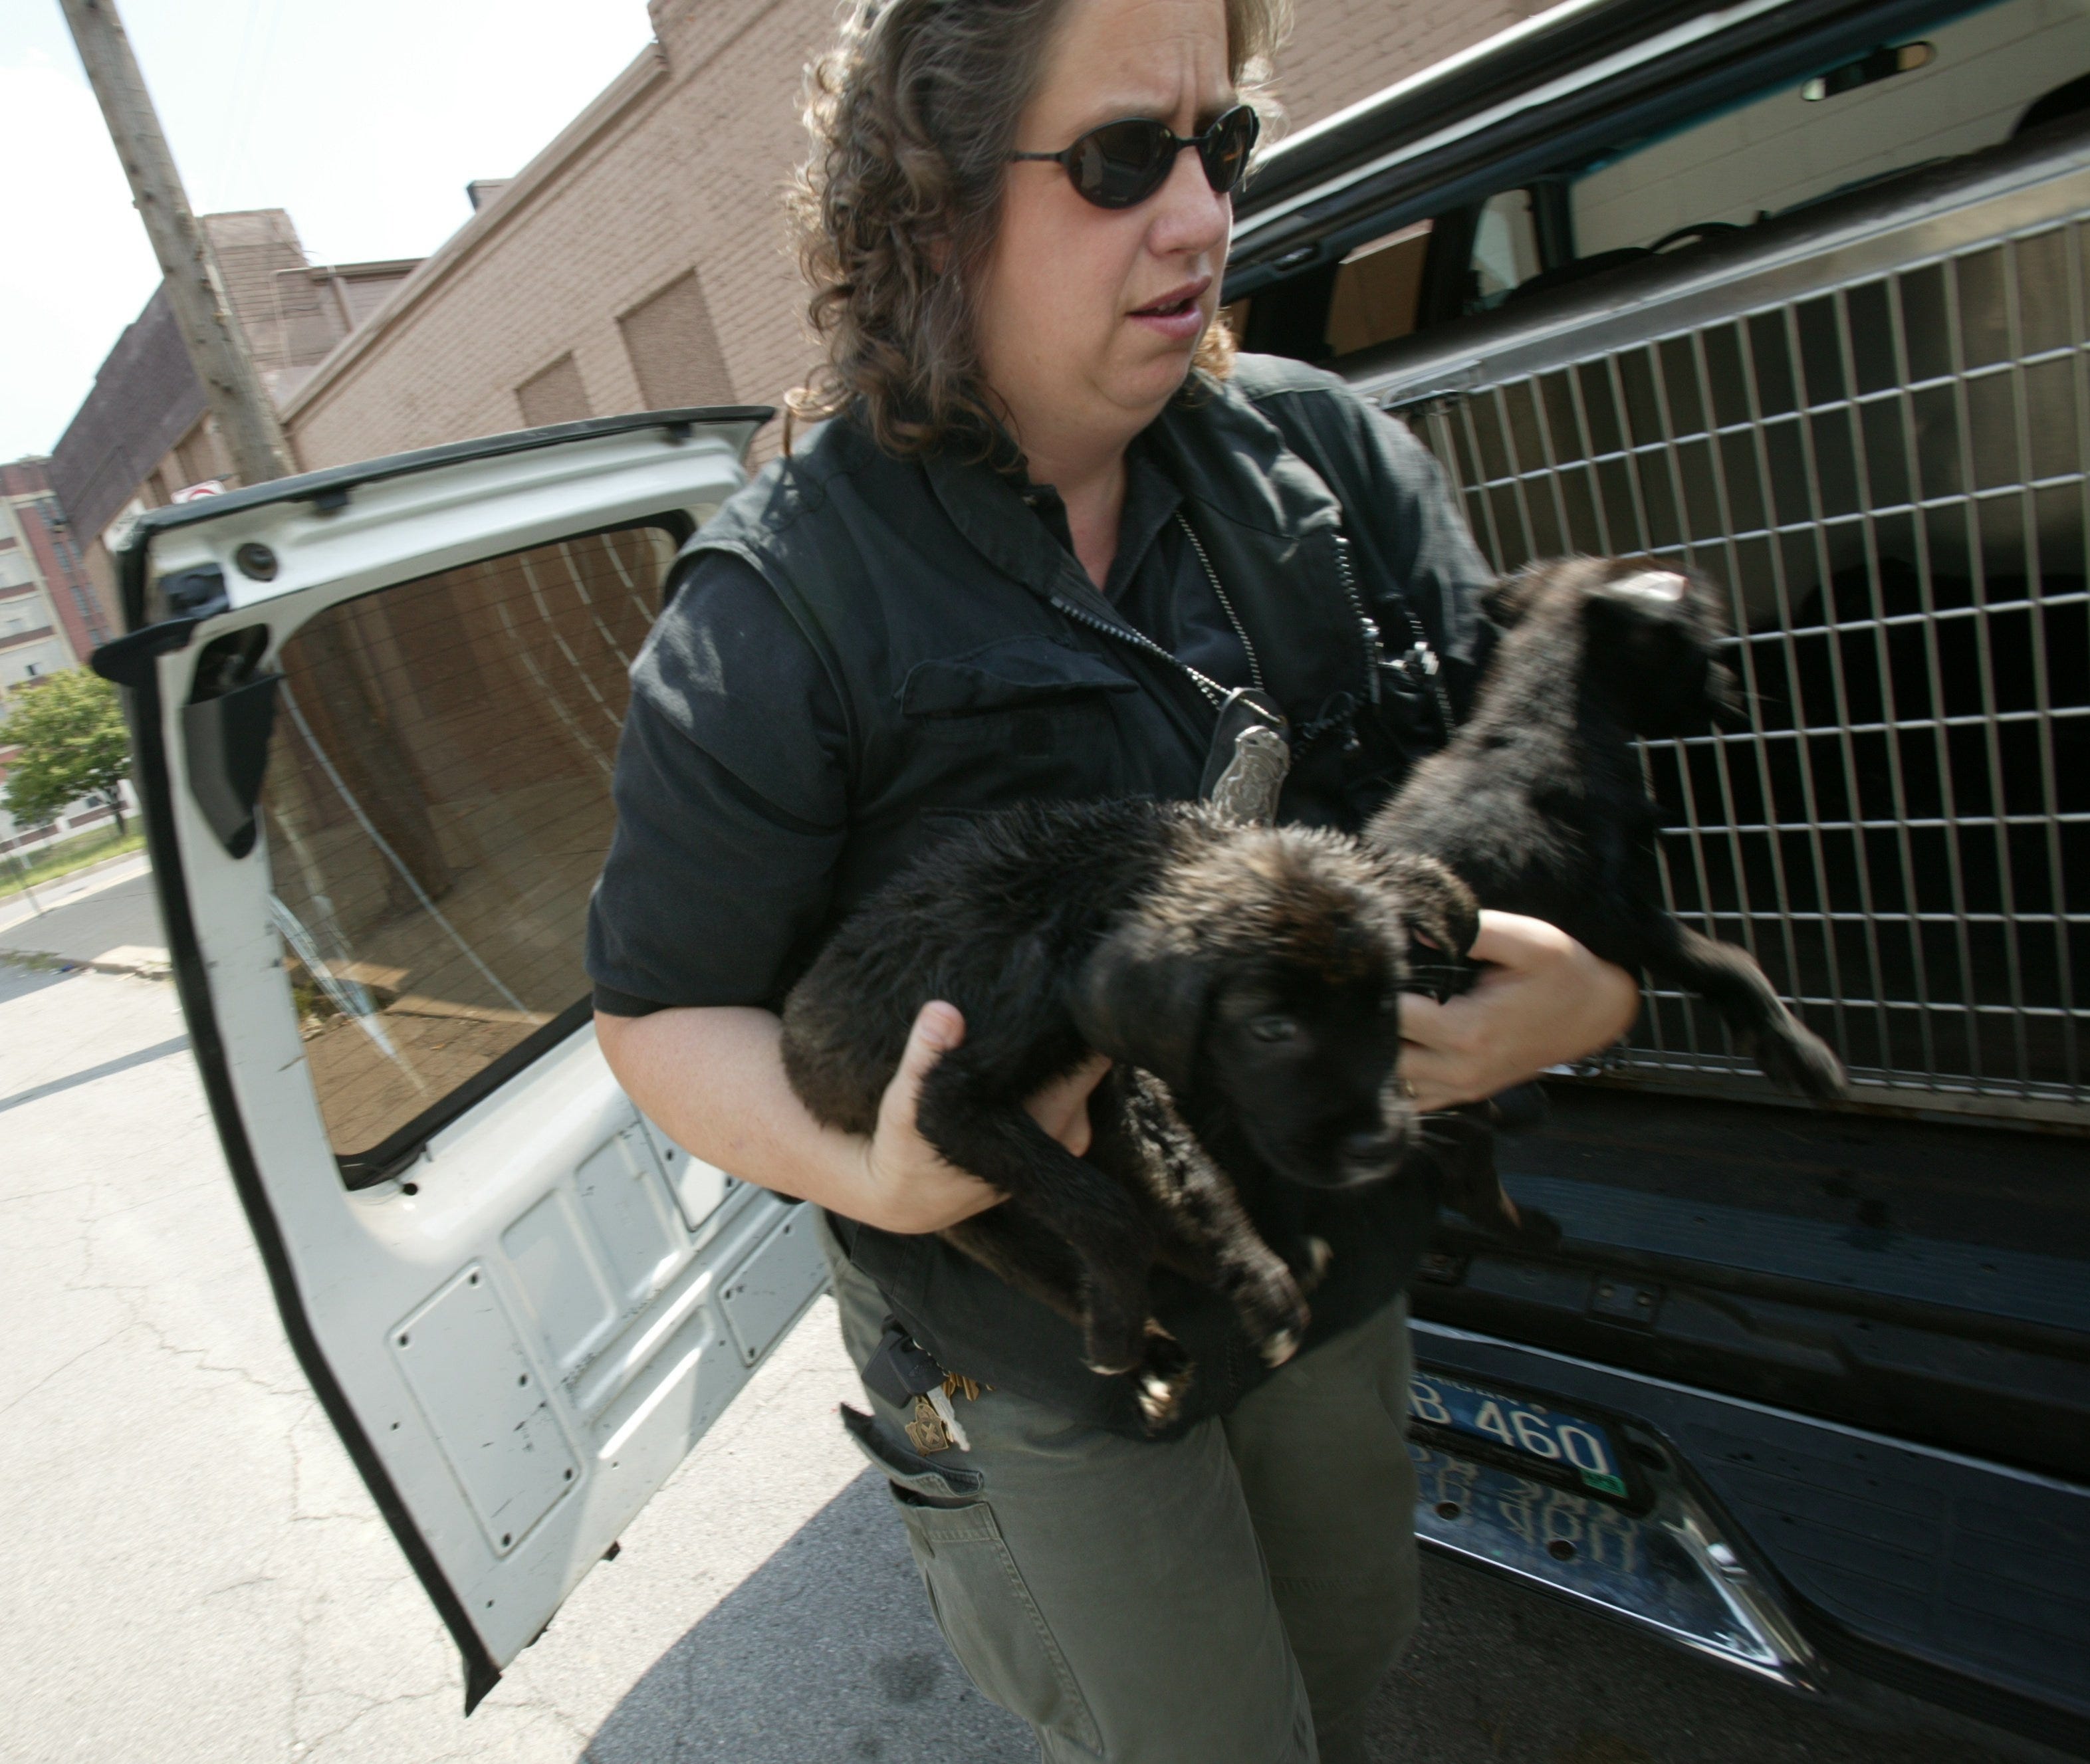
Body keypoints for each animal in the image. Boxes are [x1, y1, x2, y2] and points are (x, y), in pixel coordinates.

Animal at [777, 794, 1479, 1421]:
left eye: (1387, 1001)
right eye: (1272, 1028)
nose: (1380, 1146)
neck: (1083, 895)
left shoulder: (1124, 1093)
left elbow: (1200, 1186)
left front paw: (1264, 1284)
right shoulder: (948, 1100)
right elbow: (1106, 1211)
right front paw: (1117, 1332)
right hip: (981, 1225)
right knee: (1068, 1267)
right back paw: (1146, 1351)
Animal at [1371, 560, 1847, 1220]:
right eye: (1704, 645)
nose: (1732, 685)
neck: (1544, 721)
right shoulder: (1605, 910)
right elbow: (1725, 960)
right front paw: (1799, 1052)